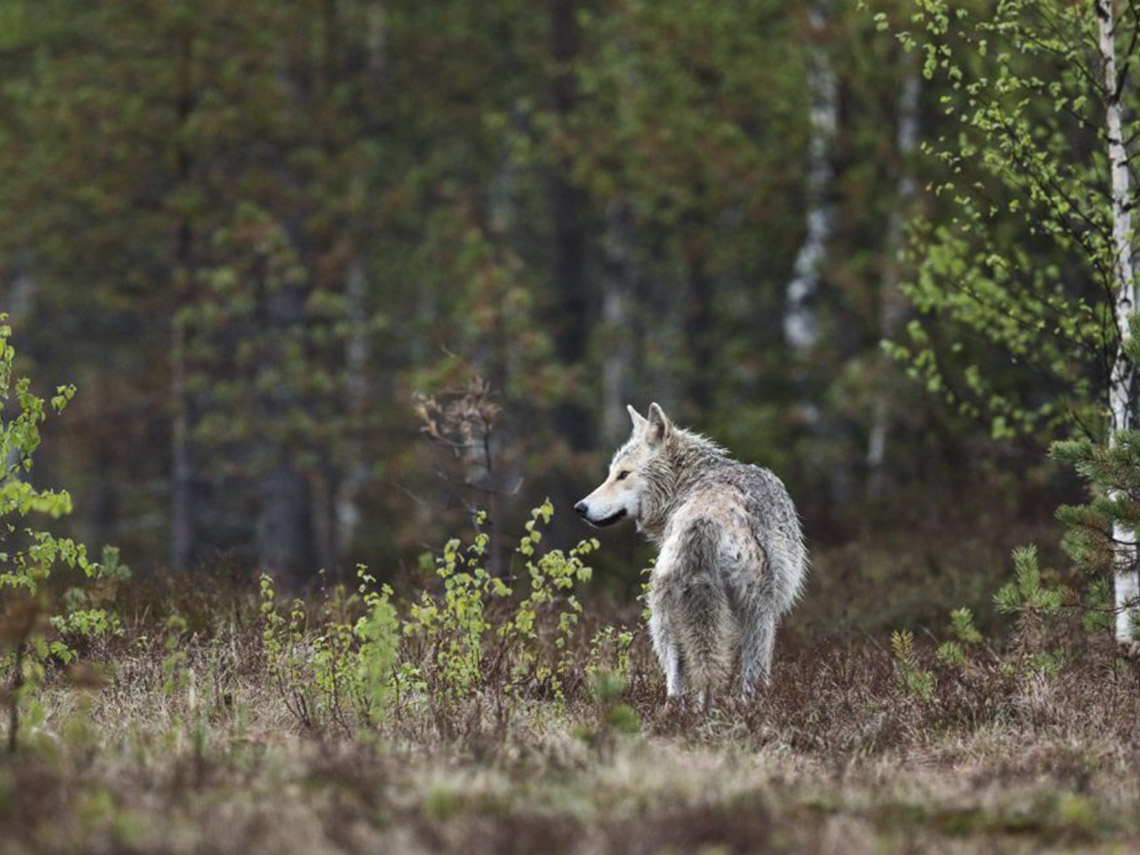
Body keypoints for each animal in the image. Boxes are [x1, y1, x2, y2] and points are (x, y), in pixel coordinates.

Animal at [574, 405, 807, 706]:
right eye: (612, 473)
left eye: (623, 474)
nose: (579, 508)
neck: (689, 482)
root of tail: (703, 521)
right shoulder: (767, 613)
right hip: (755, 613)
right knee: (746, 677)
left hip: (665, 617)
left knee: (677, 681)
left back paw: (681, 712)